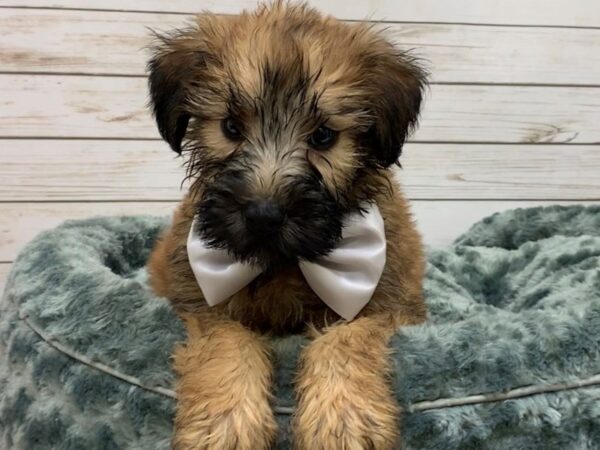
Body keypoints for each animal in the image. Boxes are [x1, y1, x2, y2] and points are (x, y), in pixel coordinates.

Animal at [145, 1, 426, 448]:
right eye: (230, 127)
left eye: (325, 136)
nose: (263, 215)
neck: (284, 261)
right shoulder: (201, 303)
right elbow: (227, 344)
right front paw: (224, 423)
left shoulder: (386, 302)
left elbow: (346, 339)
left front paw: (344, 418)